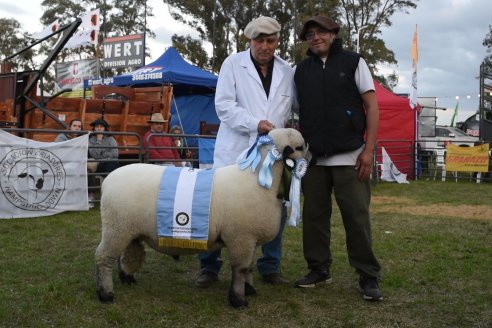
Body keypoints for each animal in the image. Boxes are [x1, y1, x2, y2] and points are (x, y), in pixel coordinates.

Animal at [95, 127, 308, 308]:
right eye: (300, 147)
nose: (311, 156)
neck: (257, 180)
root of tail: (108, 180)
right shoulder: (241, 238)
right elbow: (240, 269)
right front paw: (238, 299)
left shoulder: (250, 239)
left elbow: (248, 268)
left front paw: (249, 290)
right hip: (116, 227)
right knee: (104, 258)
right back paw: (105, 294)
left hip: (126, 228)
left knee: (124, 254)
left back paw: (127, 279)